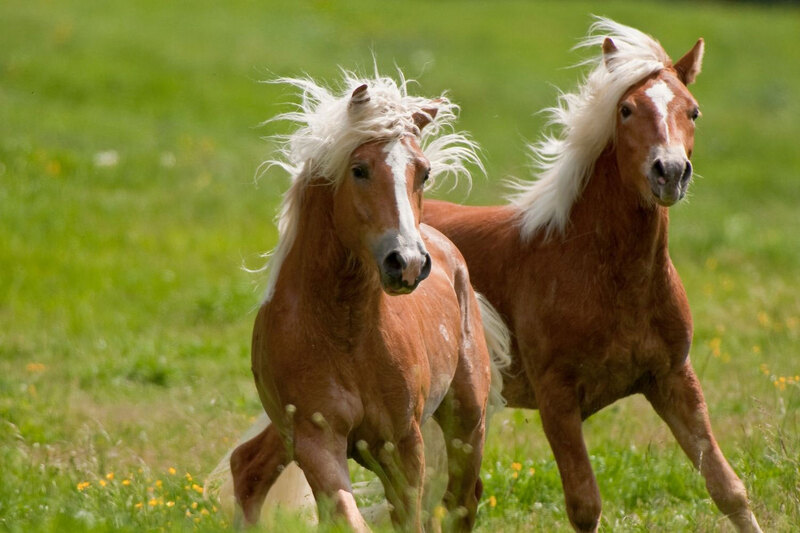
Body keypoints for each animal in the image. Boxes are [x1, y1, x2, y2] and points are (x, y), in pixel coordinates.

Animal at [216, 72, 509, 532]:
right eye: (359, 170)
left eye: (424, 173)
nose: (408, 262)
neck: (346, 333)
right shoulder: (315, 438)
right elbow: (344, 515)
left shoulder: (401, 444)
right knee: (247, 465)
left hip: (467, 419)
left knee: (462, 500)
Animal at [423, 18, 762, 533]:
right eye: (625, 109)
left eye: (694, 111)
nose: (670, 172)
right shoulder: (557, 397)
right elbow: (584, 504)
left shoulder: (674, 378)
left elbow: (727, 487)